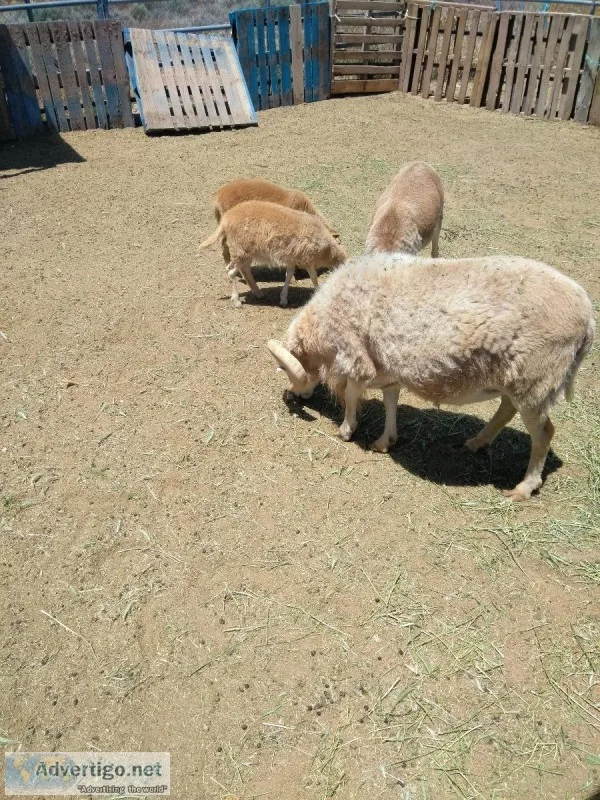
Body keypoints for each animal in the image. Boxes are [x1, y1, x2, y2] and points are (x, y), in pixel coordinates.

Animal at [198, 200, 348, 308]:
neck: (327, 250)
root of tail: (226, 219)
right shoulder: (307, 258)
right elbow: (314, 277)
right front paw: (318, 291)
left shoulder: (293, 258)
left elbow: (289, 275)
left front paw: (283, 298)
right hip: (240, 250)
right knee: (231, 272)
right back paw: (236, 301)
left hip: (247, 252)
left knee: (245, 269)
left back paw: (258, 292)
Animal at [267, 253, 595, 501]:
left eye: (288, 370)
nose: (294, 396)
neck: (323, 325)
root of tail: (588, 317)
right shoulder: (387, 366)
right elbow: (390, 400)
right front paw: (386, 441)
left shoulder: (356, 356)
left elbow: (350, 395)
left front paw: (347, 431)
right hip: (517, 381)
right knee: (506, 409)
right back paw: (477, 442)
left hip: (535, 379)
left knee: (543, 433)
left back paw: (524, 488)